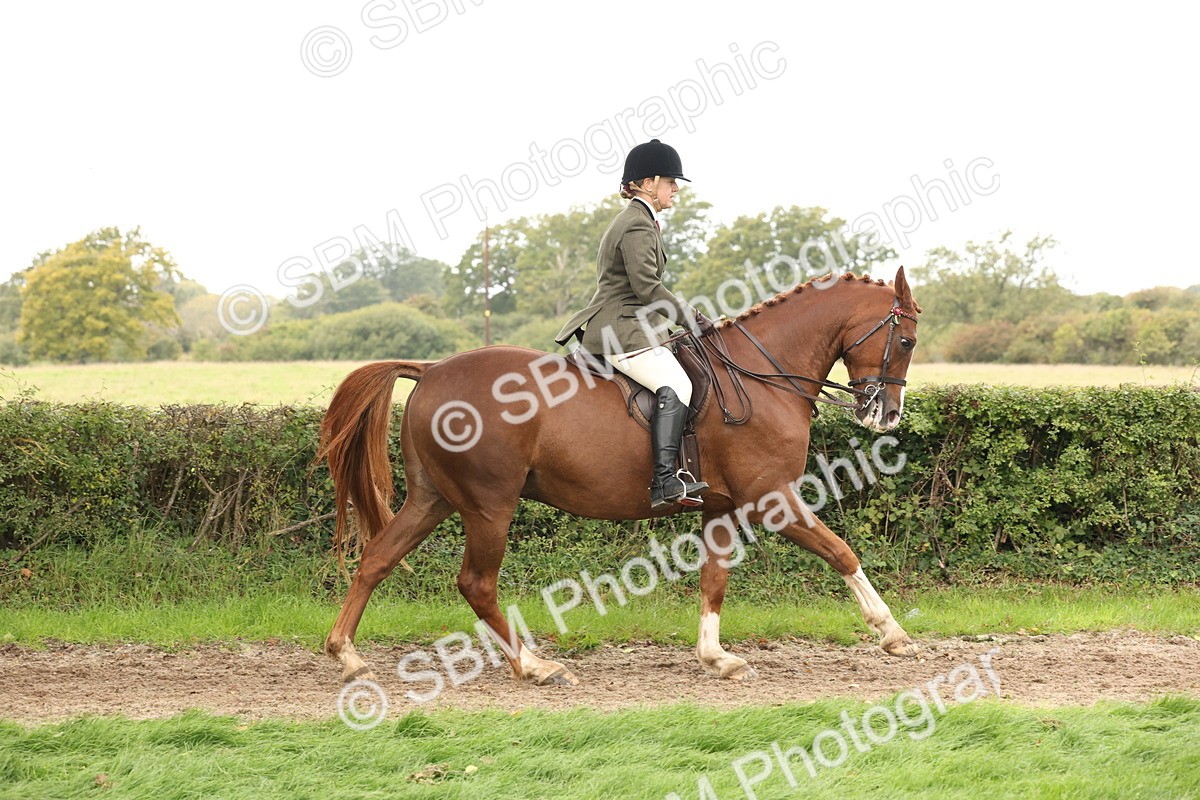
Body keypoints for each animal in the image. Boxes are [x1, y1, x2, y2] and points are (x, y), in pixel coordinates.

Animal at [318, 267, 921, 687]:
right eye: (908, 341)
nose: (887, 416)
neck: (763, 375)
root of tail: (432, 369)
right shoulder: (772, 499)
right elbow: (841, 552)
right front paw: (893, 634)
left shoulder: (721, 506)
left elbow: (714, 579)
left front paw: (716, 657)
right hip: (490, 506)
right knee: (476, 583)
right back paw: (535, 667)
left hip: (432, 499)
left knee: (376, 559)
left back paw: (348, 657)